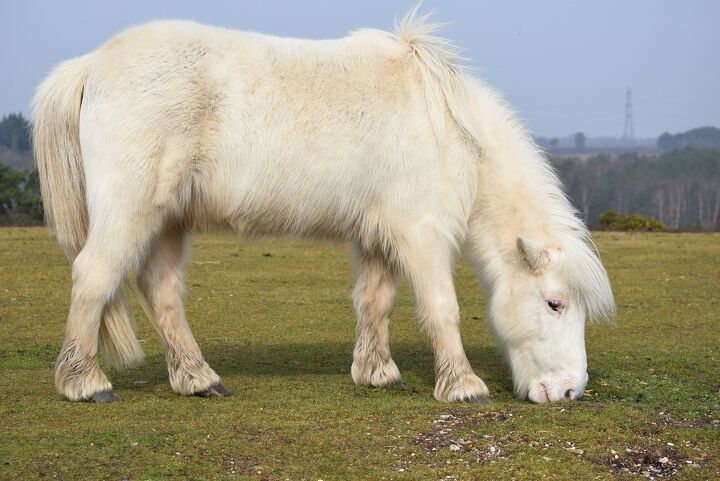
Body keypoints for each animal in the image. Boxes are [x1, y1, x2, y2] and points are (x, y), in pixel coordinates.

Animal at [29, 9, 612, 404]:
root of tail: (90, 65)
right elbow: (441, 307)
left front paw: (377, 373)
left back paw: (198, 379)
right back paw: (85, 383)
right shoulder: (421, 234)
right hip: (132, 212)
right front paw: (464, 385)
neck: (450, 126)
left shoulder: (379, 236)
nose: (568, 391)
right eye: (555, 303)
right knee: (94, 275)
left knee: (162, 291)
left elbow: (375, 302)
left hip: (169, 219)